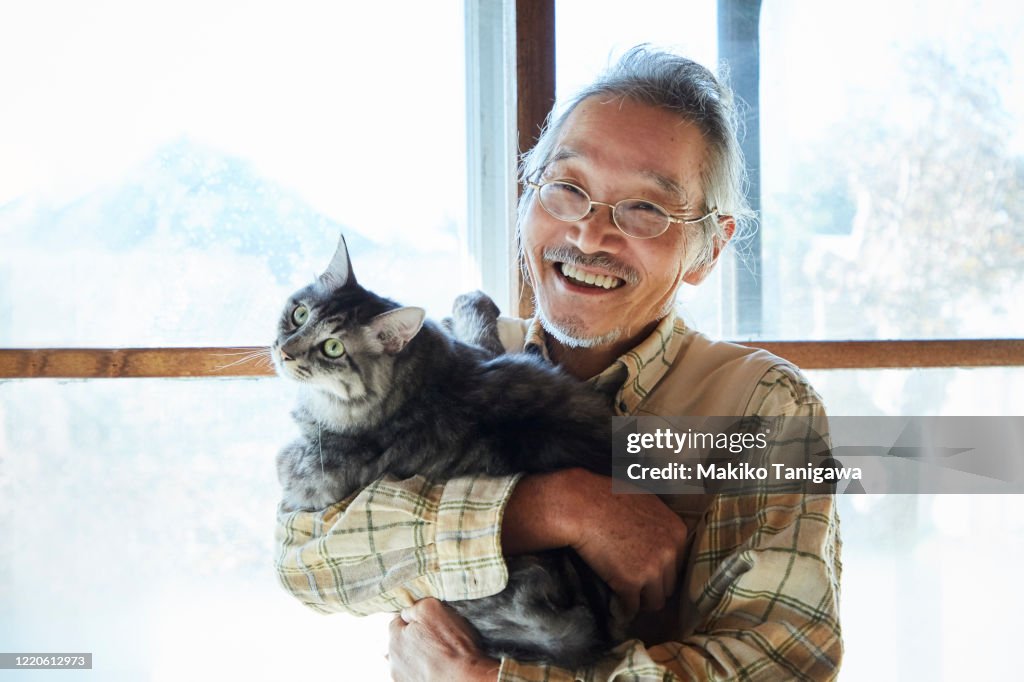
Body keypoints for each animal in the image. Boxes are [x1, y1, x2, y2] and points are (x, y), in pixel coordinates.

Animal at [274, 232, 622, 663]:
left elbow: (286, 461)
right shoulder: (485, 354)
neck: (424, 380)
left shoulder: (308, 477)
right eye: (299, 314)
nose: (284, 351)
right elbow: (480, 327)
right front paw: (472, 300)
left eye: (333, 348)